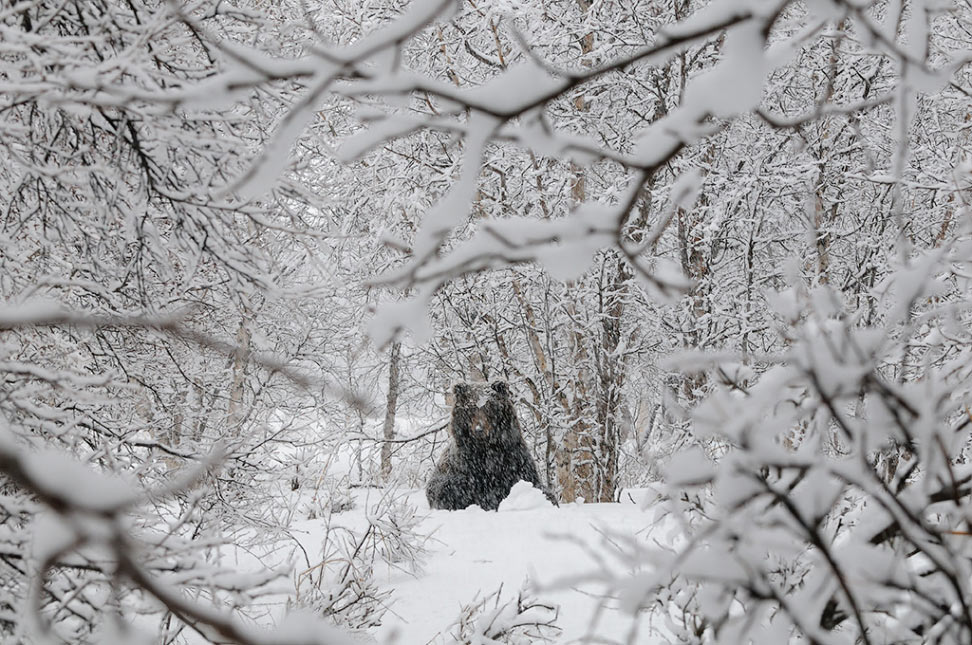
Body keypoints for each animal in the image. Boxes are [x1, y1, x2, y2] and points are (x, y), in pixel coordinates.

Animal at [426, 380, 556, 510]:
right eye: (471, 406)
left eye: (489, 406)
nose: (479, 429)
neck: (488, 448)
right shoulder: (468, 465)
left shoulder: (514, 457)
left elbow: (530, 481)